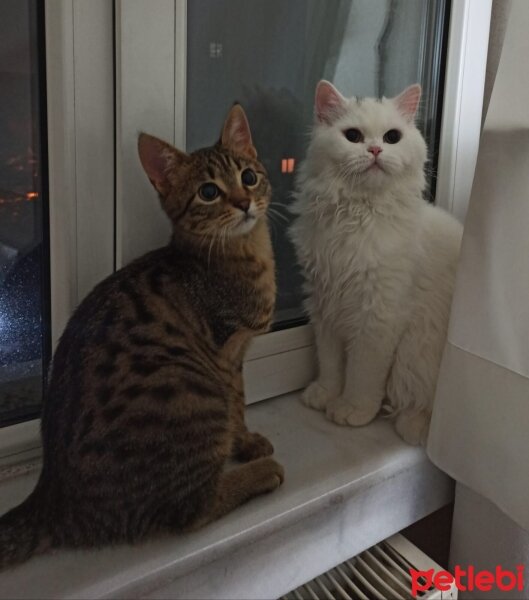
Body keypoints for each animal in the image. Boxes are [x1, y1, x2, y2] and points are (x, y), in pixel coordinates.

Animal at [0, 103, 284, 568]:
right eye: (208, 192)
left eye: (248, 176)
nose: (245, 203)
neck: (241, 255)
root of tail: (53, 500)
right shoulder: (225, 354)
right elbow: (236, 405)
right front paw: (244, 444)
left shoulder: (237, 355)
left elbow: (242, 399)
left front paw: (244, 441)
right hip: (193, 392)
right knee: (190, 513)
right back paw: (257, 477)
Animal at [288, 79, 462, 446]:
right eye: (353, 136)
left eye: (392, 137)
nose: (375, 151)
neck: (357, 215)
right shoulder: (325, 306)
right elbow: (331, 365)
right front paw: (325, 395)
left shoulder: (377, 316)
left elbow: (362, 375)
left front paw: (351, 410)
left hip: (416, 356)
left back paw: (413, 428)